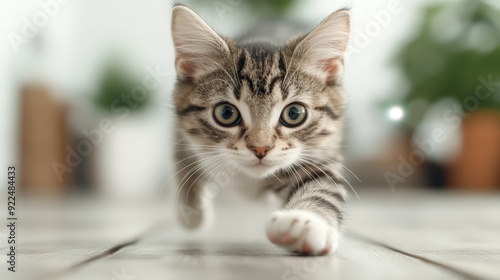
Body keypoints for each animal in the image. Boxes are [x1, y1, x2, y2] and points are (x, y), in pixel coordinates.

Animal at [172, 3, 352, 256]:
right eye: (226, 113)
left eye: (294, 114)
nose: (260, 148)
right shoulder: (181, 131)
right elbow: (182, 160)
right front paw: (191, 214)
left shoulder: (323, 150)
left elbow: (324, 187)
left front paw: (303, 223)